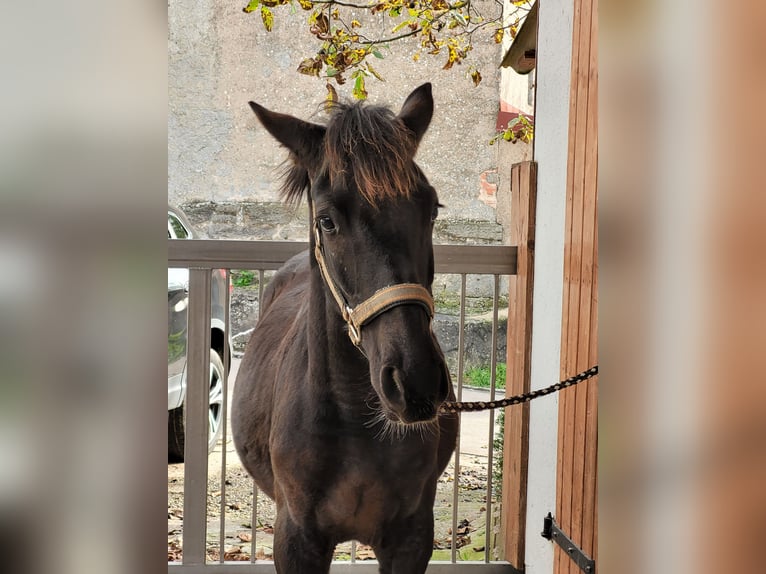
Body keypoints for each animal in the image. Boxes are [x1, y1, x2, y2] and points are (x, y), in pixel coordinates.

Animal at [234, 83, 460, 572]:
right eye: (327, 221)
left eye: (432, 208)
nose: (415, 382)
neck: (356, 420)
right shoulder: (296, 539)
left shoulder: (411, 538)